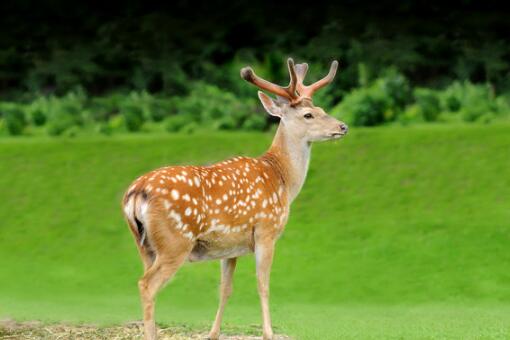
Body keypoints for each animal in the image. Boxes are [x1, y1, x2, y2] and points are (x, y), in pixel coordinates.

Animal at [121, 57, 348, 338]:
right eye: (308, 115)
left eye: (321, 107)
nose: (342, 126)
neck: (282, 178)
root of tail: (135, 193)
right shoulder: (266, 230)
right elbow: (263, 285)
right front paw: (268, 332)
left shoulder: (230, 246)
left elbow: (225, 289)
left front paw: (213, 333)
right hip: (175, 241)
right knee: (146, 285)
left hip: (144, 245)